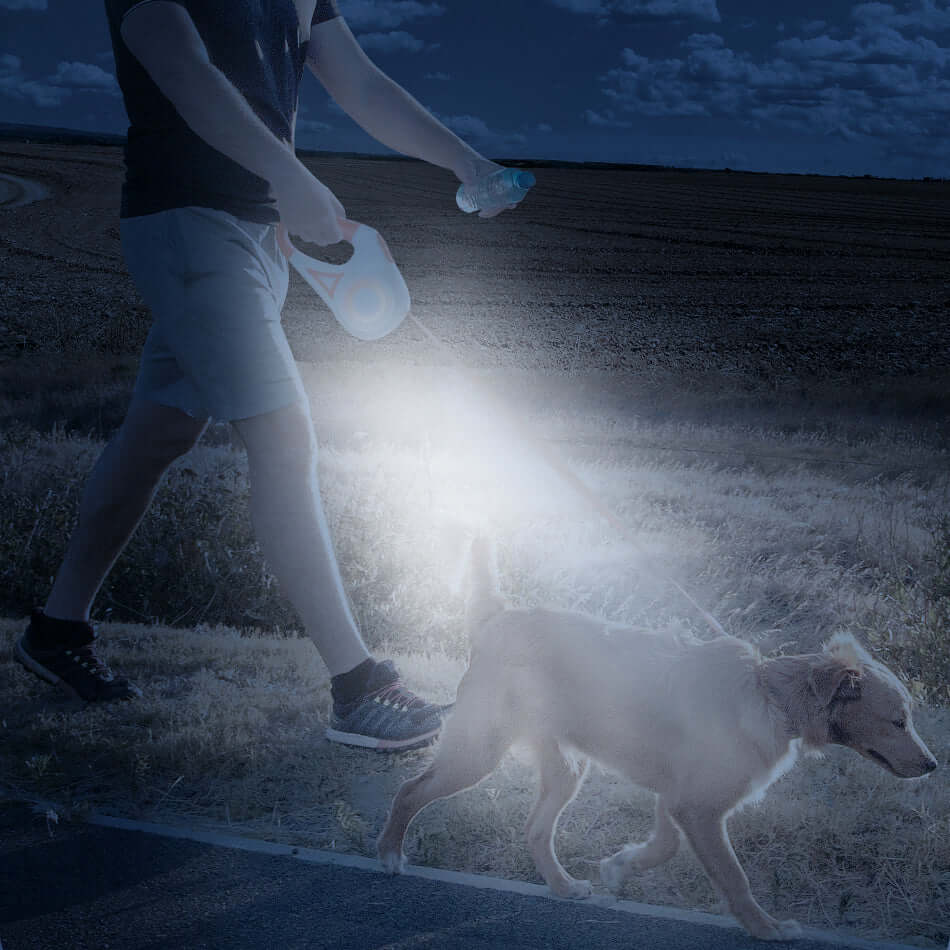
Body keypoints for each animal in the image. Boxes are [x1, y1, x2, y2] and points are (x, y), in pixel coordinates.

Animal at [378, 540, 936, 940]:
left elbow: (665, 847)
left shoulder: (679, 798)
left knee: (535, 830)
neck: (769, 695)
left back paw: (562, 886)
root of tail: (498, 619)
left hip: (566, 769)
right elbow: (733, 876)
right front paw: (767, 928)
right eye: (898, 721)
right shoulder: (699, 808)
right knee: (408, 791)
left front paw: (620, 866)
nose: (932, 766)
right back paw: (388, 856)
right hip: (478, 750)